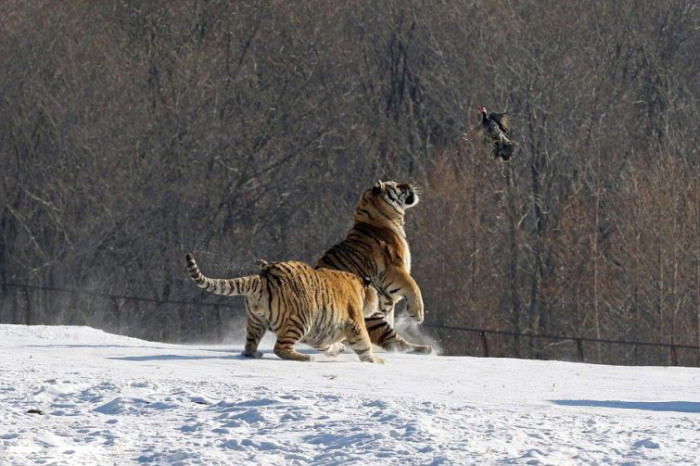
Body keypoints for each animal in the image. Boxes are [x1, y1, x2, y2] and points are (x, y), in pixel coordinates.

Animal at [185, 251, 382, 364]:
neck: (360, 287)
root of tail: (263, 277)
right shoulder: (354, 323)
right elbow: (364, 343)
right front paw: (375, 361)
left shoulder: (321, 332)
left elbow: (327, 345)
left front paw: (338, 349)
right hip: (300, 321)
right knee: (280, 349)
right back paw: (305, 358)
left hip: (256, 322)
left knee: (249, 346)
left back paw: (255, 354)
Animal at [318, 179, 432, 354]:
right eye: (396, 185)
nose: (410, 184)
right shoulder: (395, 269)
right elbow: (414, 287)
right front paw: (417, 314)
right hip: (370, 316)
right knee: (392, 340)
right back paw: (423, 349)